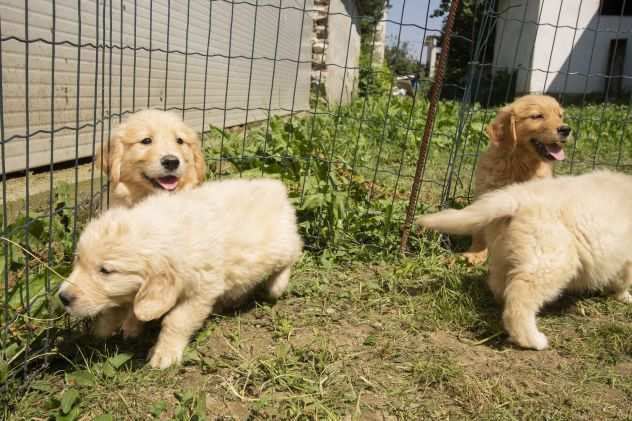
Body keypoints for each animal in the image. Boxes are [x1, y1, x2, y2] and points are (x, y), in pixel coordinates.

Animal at [58, 178, 304, 368]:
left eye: (106, 271)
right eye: (78, 260)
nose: (63, 297)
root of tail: (276, 186)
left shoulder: (200, 290)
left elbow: (176, 321)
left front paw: (164, 353)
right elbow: (133, 307)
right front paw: (126, 326)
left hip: (278, 247)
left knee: (294, 250)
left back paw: (276, 285)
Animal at [420, 169, 632, 350]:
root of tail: (517, 197)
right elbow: (623, 280)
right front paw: (625, 297)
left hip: (503, 253)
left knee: (500, 285)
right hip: (551, 260)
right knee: (519, 301)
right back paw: (532, 340)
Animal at [462, 95, 572, 264]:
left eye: (560, 116)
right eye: (537, 116)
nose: (566, 129)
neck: (520, 164)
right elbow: (481, 229)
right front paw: (475, 253)